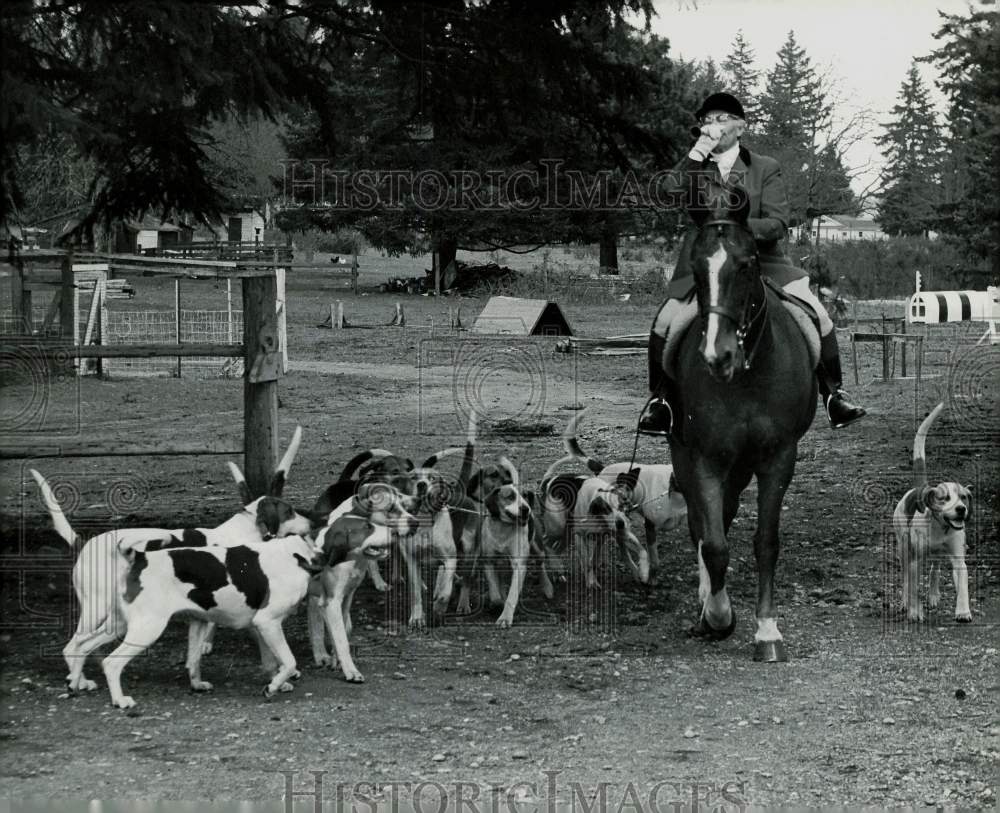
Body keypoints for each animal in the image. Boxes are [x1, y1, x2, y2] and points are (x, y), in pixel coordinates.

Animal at [668, 195, 816, 660]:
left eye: (747, 264)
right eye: (697, 270)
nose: (718, 356)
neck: (748, 374)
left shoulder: (777, 457)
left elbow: (766, 542)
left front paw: (767, 631)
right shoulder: (704, 456)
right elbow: (713, 543)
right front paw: (717, 615)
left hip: (743, 463)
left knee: (727, 511)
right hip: (687, 453)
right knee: (702, 524)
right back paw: (707, 599)